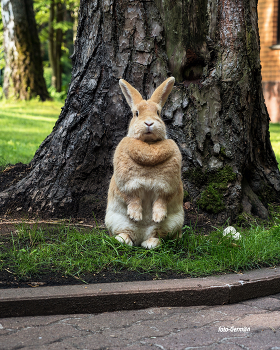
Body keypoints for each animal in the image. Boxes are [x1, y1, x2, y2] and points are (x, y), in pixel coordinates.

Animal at [105, 77, 184, 249]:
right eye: (136, 113)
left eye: (158, 113)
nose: (149, 123)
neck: (148, 146)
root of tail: (141, 236)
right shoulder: (126, 185)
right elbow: (132, 198)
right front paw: (135, 216)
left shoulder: (168, 186)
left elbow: (161, 200)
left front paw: (158, 217)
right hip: (115, 220)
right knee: (125, 233)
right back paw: (124, 239)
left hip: (173, 223)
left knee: (158, 235)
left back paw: (150, 242)